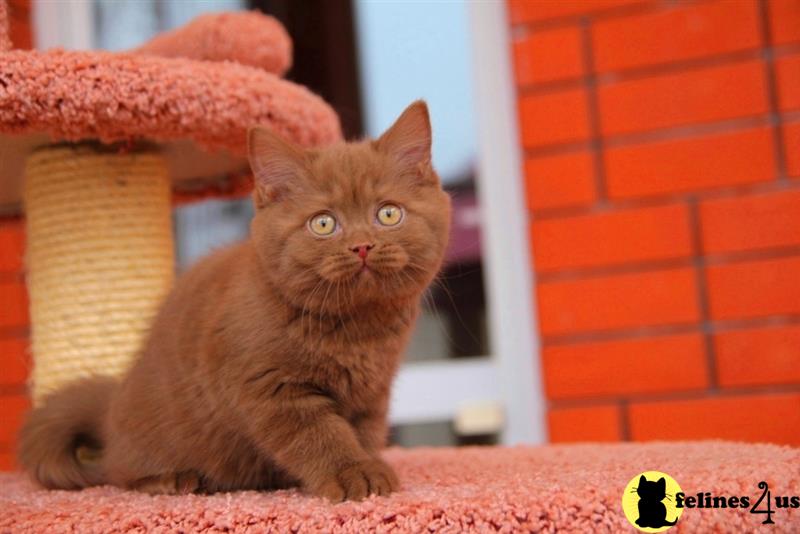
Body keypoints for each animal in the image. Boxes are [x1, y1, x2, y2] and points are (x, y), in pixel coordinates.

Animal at [20, 100, 450, 502]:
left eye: (389, 214)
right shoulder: (272, 389)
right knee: (120, 471)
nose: (362, 246)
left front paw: (369, 463)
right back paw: (171, 479)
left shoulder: (371, 394)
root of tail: (111, 405)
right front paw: (353, 473)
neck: (358, 329)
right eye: (324, 223)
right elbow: (321, 435)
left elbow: (363, 432)